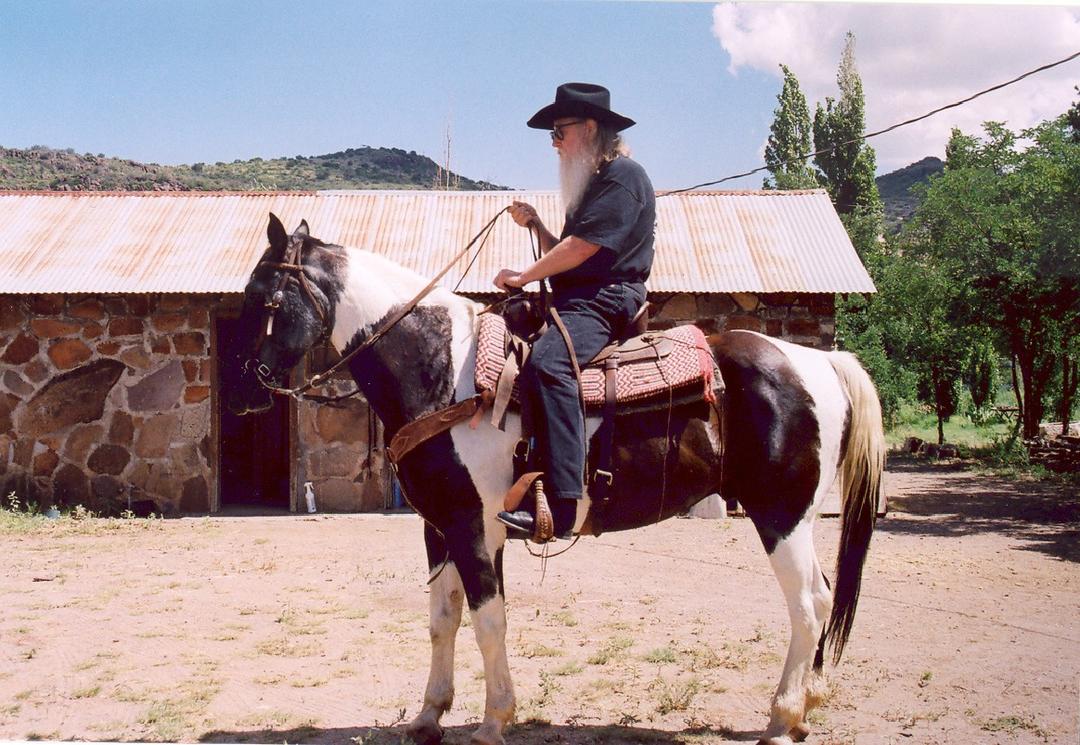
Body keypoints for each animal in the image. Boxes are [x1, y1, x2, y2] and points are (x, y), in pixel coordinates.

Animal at [227, 213, 885, 742]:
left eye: (262, 299)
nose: (244, 392)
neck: (441, 369)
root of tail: (819, 360)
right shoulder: (439, 527)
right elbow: (443, 620)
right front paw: (429, 716)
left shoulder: (478, 529)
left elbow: (488, 621)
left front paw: (494, 721)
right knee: (821, 597)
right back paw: (806, 707)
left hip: (780, 516)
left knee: (808, 603)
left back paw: (781, 717)